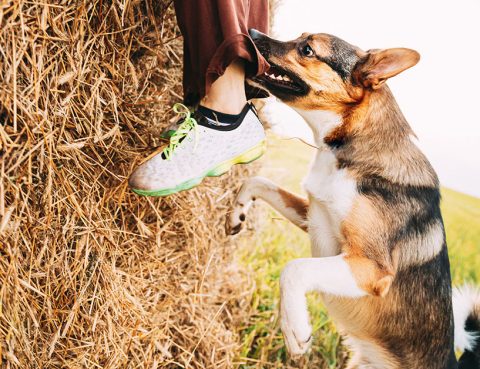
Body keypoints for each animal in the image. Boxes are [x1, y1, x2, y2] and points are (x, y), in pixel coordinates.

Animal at [226, 29, 480, 368]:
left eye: (307, 49)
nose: (251, 33)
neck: (347, 145)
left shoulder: (370, 268)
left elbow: (294, 268)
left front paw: (294, 328)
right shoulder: (313, 215)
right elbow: (257, 181)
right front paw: (236, 214)